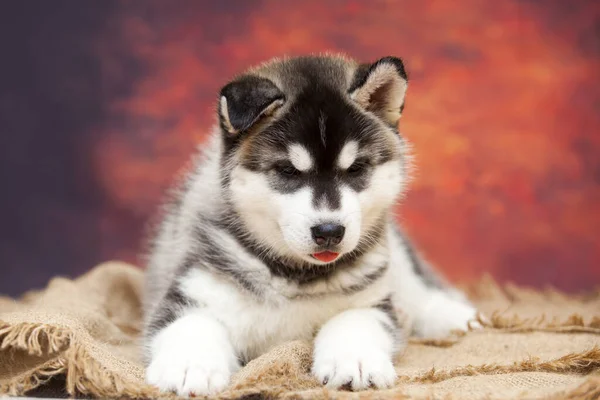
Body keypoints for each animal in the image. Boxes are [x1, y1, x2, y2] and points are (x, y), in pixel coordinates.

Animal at [142, 54, 478, 396]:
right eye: (288, 170)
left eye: (355, 168)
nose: (329, 232)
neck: (296, 276)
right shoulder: (191, 291)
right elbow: (192, 324)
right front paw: (189, 366)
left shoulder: (370, 300)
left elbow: (353, 320)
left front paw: (355, 361)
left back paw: (457, 316)